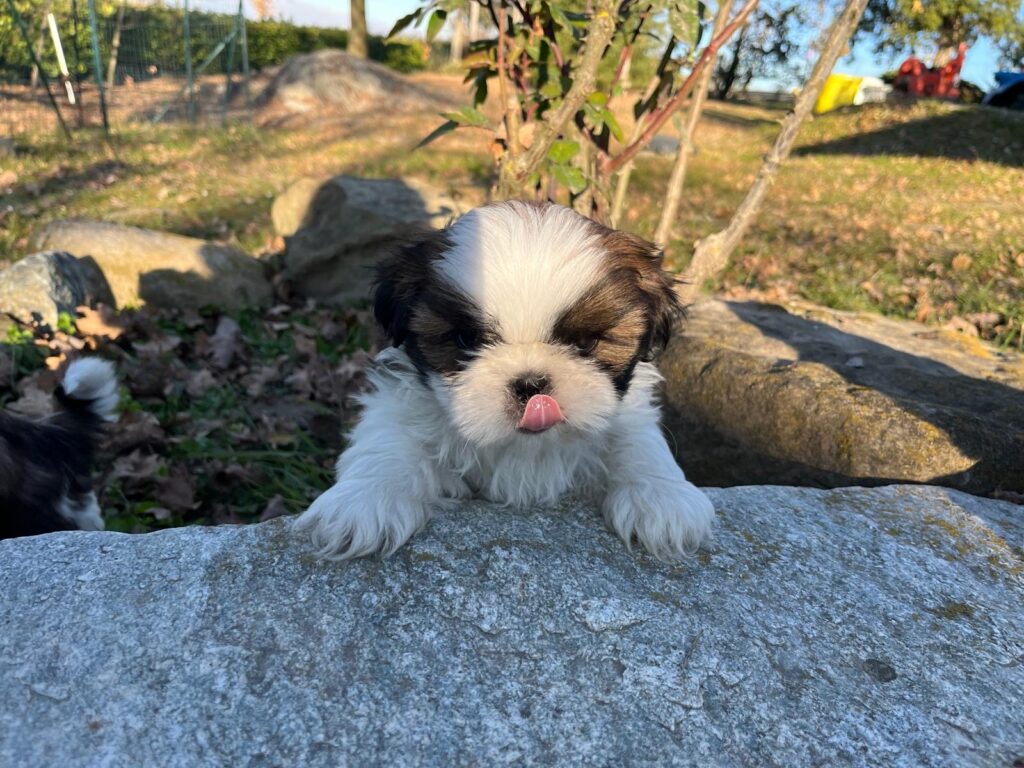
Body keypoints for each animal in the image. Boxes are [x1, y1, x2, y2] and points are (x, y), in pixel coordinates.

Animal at [296, 201, 712, 561]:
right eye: (466, 340)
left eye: (586, 343)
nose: (531, 385)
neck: (526, 450)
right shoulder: (400, 401)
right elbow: (388, 439)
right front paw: (365, 501)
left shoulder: (631, 410)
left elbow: (638, 441)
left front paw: (662, 496)